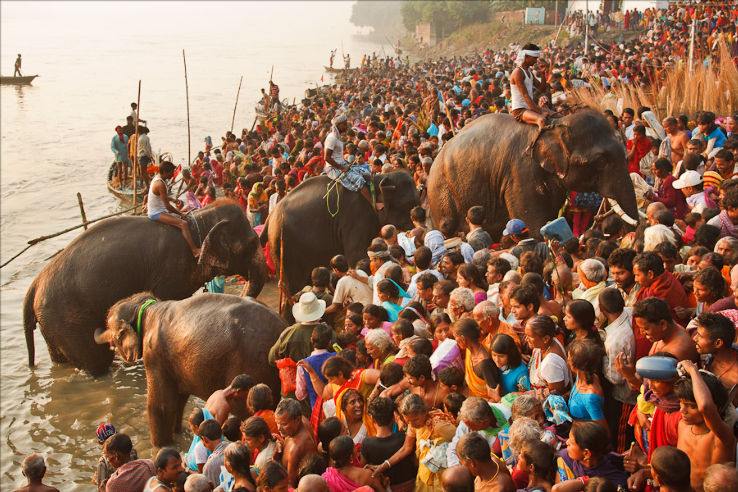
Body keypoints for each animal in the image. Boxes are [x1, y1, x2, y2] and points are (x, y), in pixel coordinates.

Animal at [24, 198, 268, 374]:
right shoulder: (169, 273)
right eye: (251, 244)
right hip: (66, 318)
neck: (199, 220)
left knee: (61, 360)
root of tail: (34, 284)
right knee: (96, 361)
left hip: (51, 322)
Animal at [93, 290, 284, 448]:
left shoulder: (154, 355)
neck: (146, 308)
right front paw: (177, 434)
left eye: (111, 328)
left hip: (251, 364)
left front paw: (161, 447)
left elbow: (160, 406)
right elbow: (179, 400)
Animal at [262, 171, 416, 294]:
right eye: (407, 205)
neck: (375, 180)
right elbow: (357, 256)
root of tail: (270, 216)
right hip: (284, 246)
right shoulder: (355, 217)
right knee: (293, 286)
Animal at [426, 110, 640, 241]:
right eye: (600, 161)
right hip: (442, 195)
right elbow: (533, 224)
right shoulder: (520, 172)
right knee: (447, 226)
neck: (556, 125)